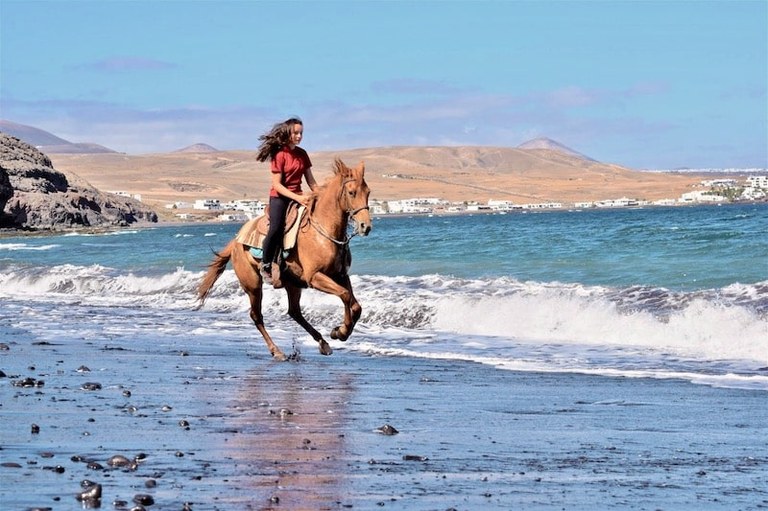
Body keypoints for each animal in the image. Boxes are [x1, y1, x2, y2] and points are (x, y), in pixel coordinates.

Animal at [197, 159, 372, 360]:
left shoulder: (340, 275)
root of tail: (236, 241)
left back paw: (323, 343)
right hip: (253, 285)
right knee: (257, 316)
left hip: (292, 283)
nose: (365, 226)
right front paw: (341, 332)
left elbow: (355, 305)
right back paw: (277, 351)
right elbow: (344, 295)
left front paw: (339, 332)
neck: (324, 231)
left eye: (368, 192)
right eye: (351, 192)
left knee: (294, 311)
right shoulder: (315, 277)